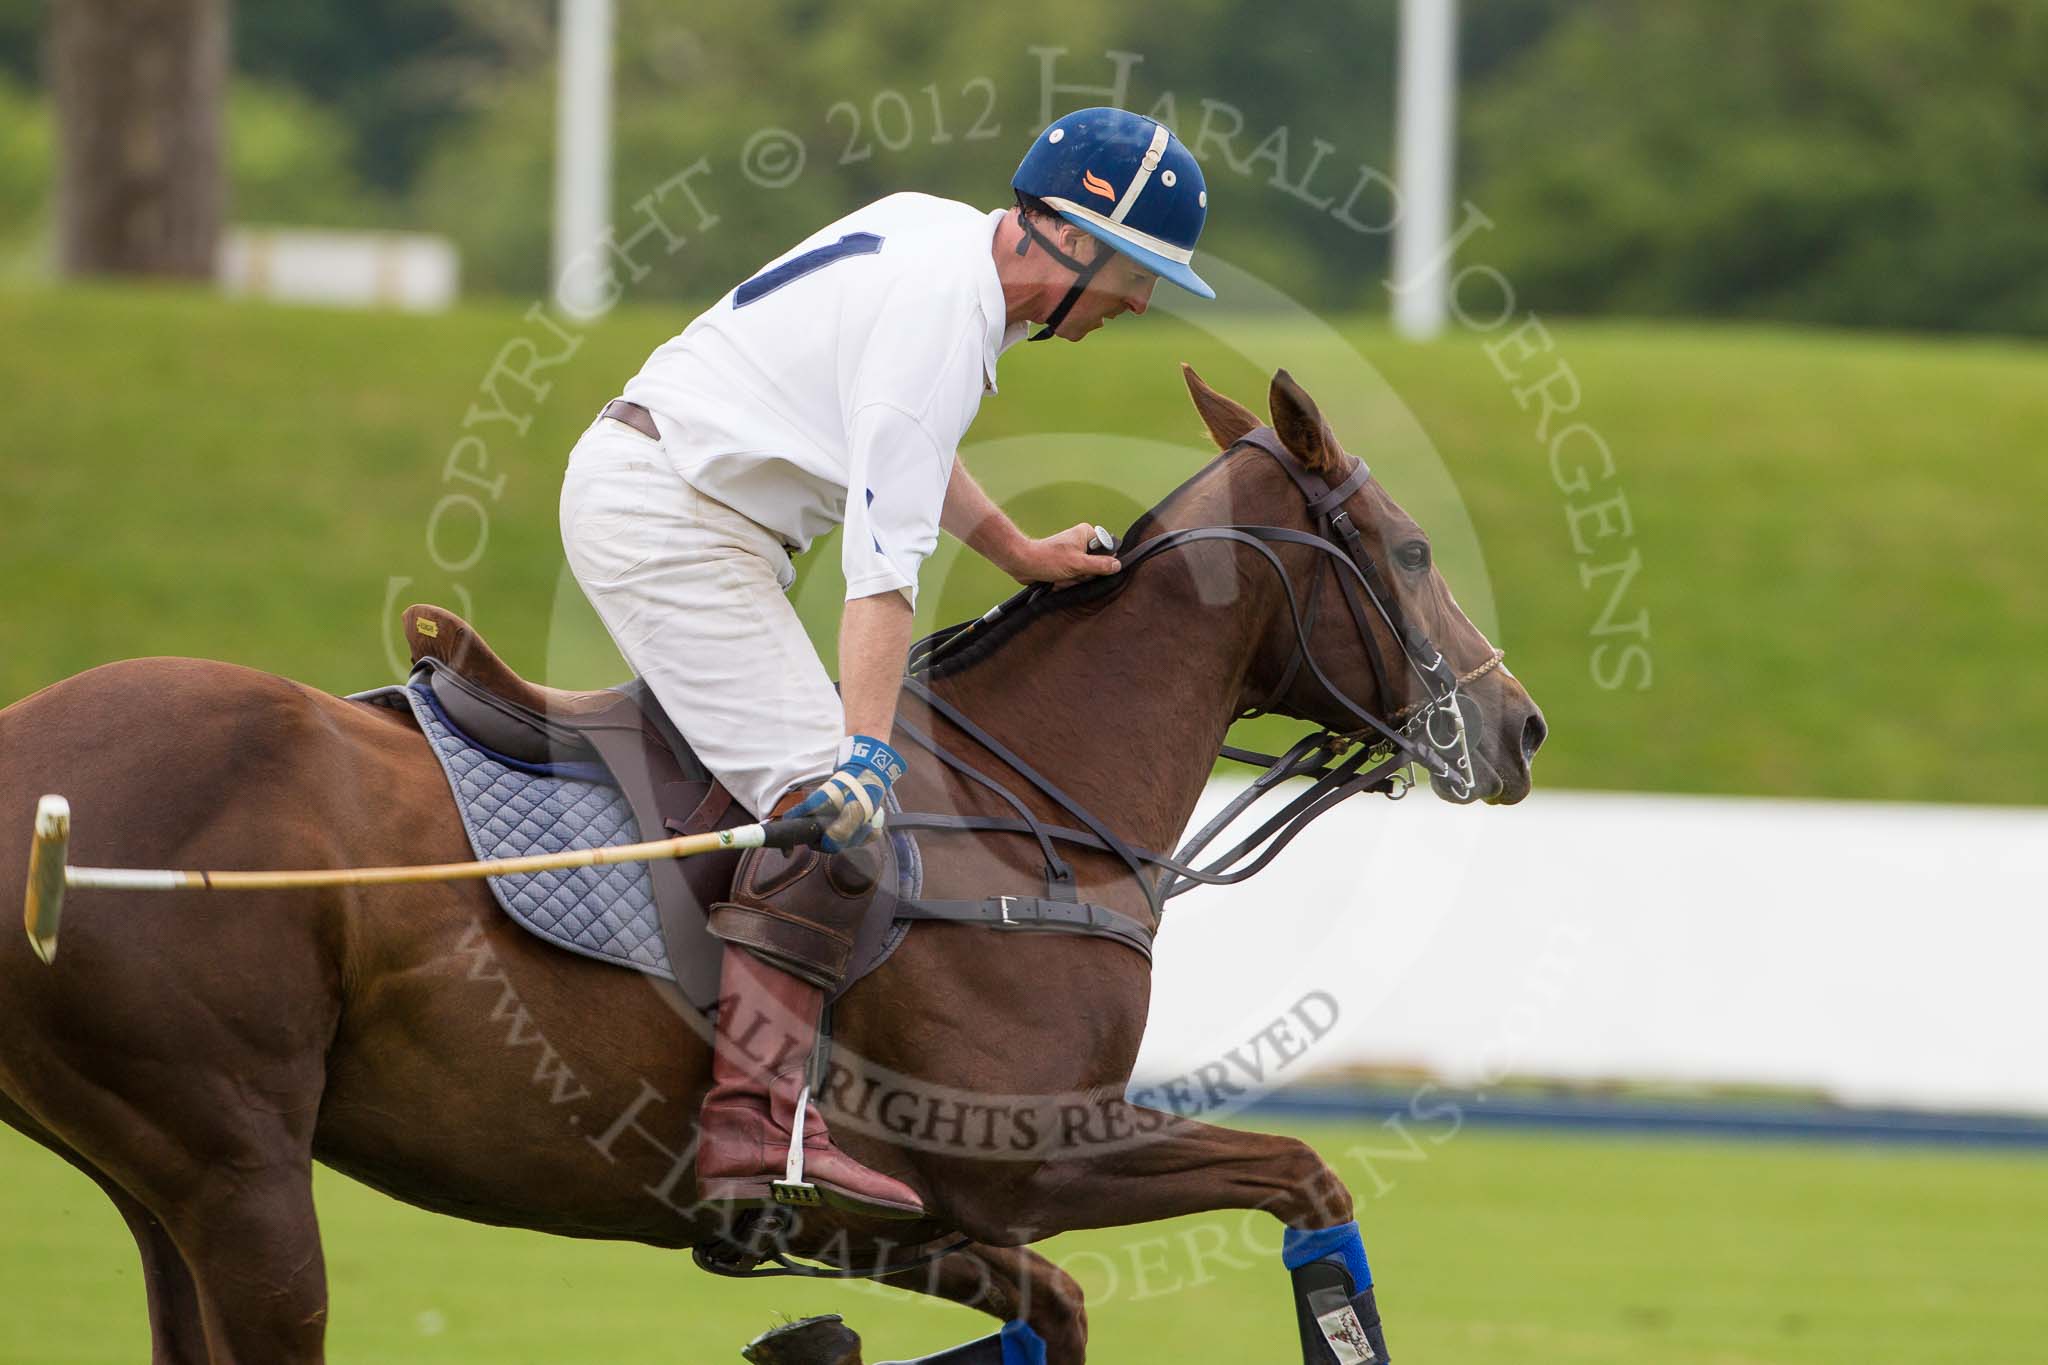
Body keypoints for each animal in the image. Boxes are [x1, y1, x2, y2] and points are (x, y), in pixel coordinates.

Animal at [0, 368, 1540, 1358]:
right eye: (1408, 549)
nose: (1517, 725)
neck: (1015, 803)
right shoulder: (1035, 1152)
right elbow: (1309, 1182)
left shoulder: (910, 1218)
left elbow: (1050, 1307)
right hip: (239, 1163)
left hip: (162, 1181)